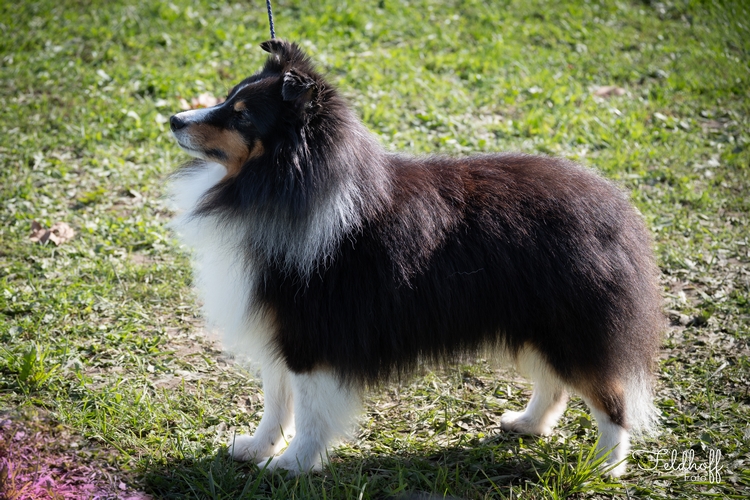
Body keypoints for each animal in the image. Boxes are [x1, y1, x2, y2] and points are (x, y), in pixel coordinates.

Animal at [169, 39, 664, 476]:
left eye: (242, 116)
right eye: (228, 97)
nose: (174, 118)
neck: (287, 183)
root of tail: (617, 207)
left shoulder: (311, 335)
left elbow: (309, 411)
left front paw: (292, 466)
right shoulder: (277, 329)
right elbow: (276, 401)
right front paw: (256, 449)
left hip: (572, 326)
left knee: (611, 398)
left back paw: (605, 466)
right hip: (534, 322)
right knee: (555, 384)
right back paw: (527, 424)